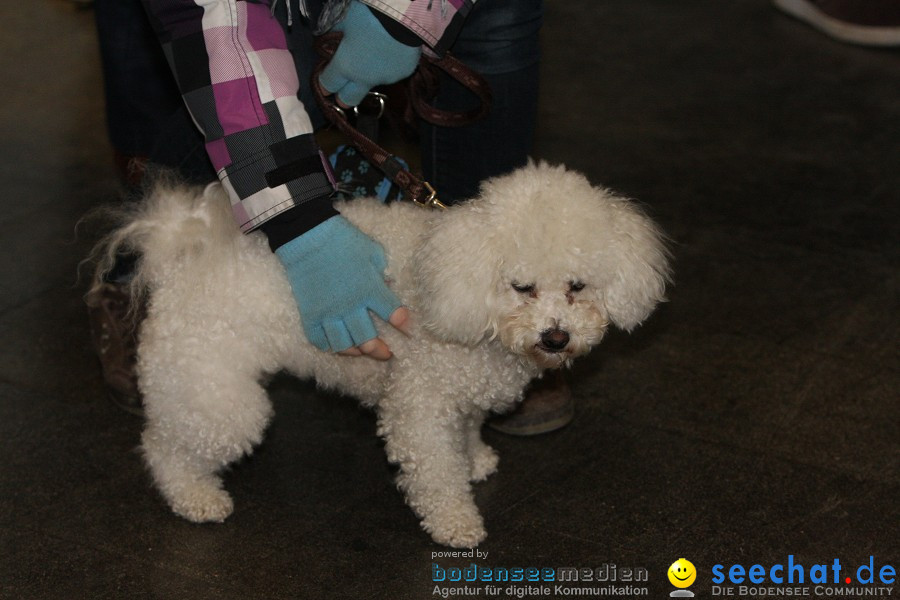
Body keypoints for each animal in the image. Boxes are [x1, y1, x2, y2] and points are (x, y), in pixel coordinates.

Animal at [91, 162, 668, 548]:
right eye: (522, 287)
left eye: (577, 286)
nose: (556, 337)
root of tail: (181, 254)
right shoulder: (420, 406)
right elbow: (435, 471)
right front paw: (456, 523)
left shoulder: (461, 396)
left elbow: (466, 434)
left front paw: (475, 459)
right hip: (215, 393)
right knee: (165, 446)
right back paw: (195, 497)